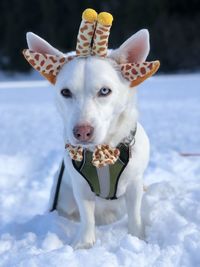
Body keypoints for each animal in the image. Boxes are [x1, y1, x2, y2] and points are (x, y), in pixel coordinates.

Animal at [22, 8, 159, 251]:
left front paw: (137, 239)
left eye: (104, 91)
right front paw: (84, 244)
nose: (82, 132)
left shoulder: (134, 183)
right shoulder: (79, 187)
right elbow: (87, 218)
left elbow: (134, 215)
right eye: (65, 92)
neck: (102, 153)